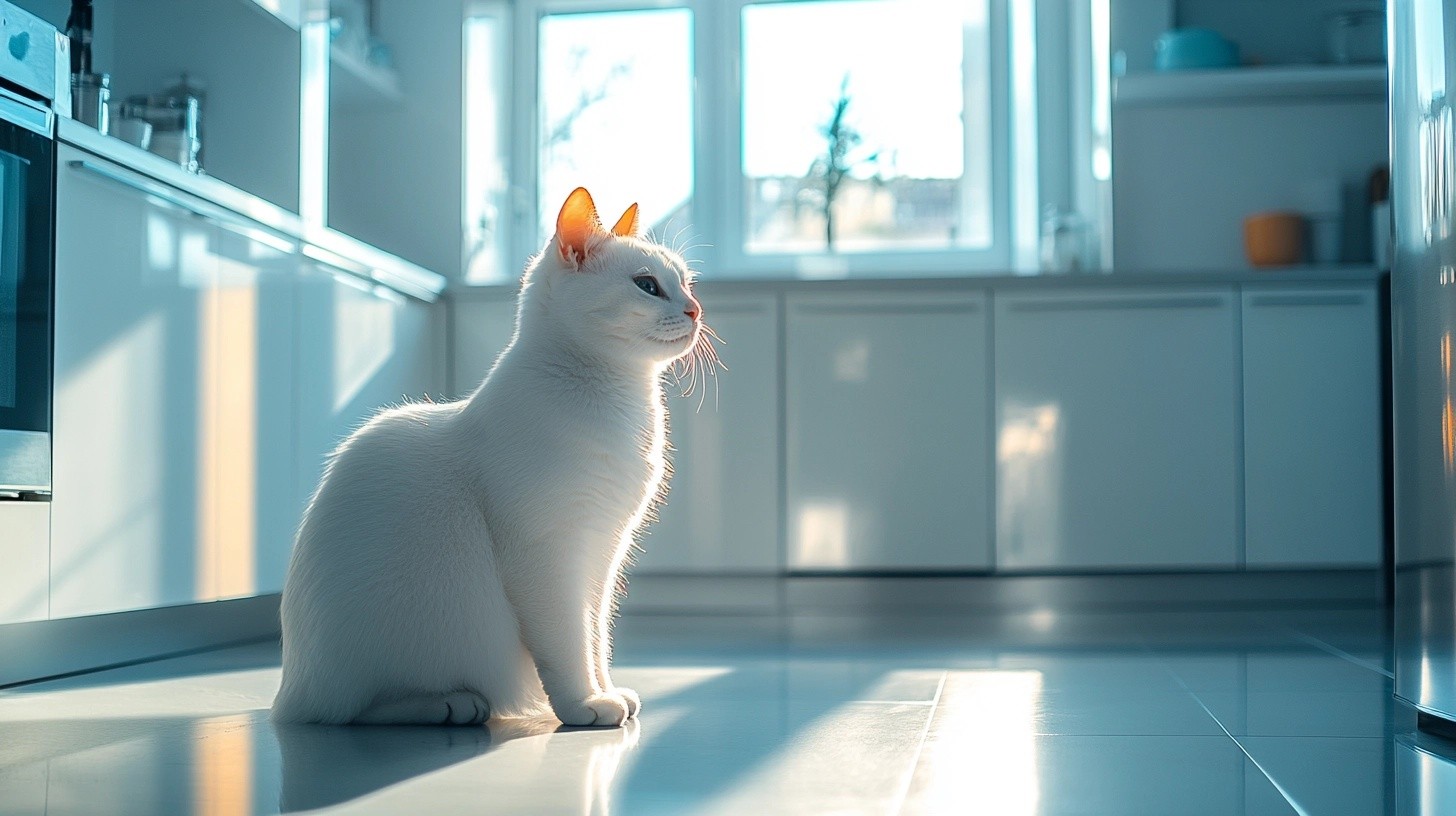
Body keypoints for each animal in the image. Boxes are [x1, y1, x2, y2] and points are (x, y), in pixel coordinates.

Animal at [275, 189, 707, 725]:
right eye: (648, 286)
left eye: (686, 283)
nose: (696, 310)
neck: (623, 404)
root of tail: (290, 689)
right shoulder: (550, 554)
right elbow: (569, 645)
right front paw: (583, 705)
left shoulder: (602, 554)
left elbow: (596, 638)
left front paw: (607, 692)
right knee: (351, 711)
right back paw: (450, 703)